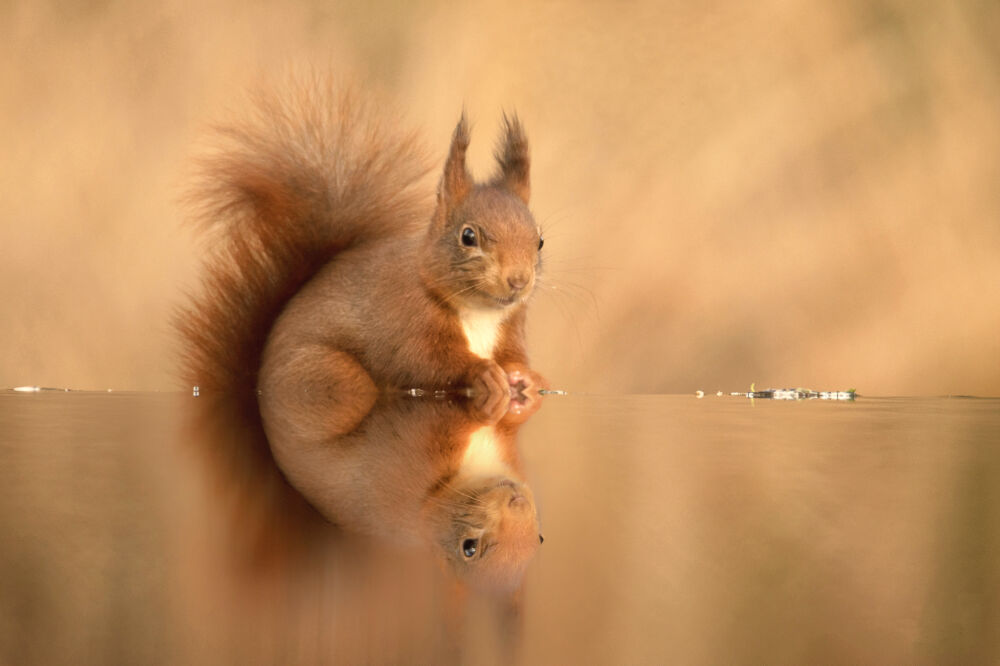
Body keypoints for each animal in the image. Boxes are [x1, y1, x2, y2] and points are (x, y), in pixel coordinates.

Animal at [178, 75, 548, 588]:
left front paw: (527, 380)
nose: (518, 282)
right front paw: (486, 377)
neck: (479, 314)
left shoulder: (510, 329)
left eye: (540, 240)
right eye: (468, 236)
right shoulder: (407, 321)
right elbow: (427, 362)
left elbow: (514, 357)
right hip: (328, 375)